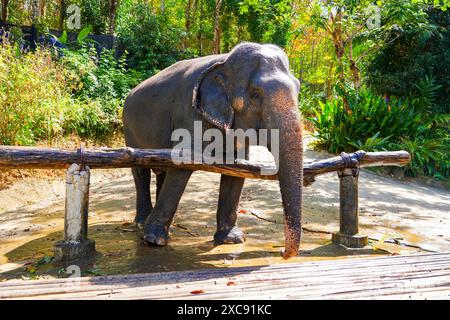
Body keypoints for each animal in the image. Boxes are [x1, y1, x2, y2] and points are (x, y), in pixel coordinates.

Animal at [123, 42, 302, 258]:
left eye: (298, 89)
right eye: (255, 94)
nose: (281, 251)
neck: (223, 61)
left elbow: (237, 170)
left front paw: (232, 239)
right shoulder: (189, 113)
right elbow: (181, 165)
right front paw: (153, 240)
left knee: (162, 170)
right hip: (129, 128)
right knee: (140, 171)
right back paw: (142, 223)